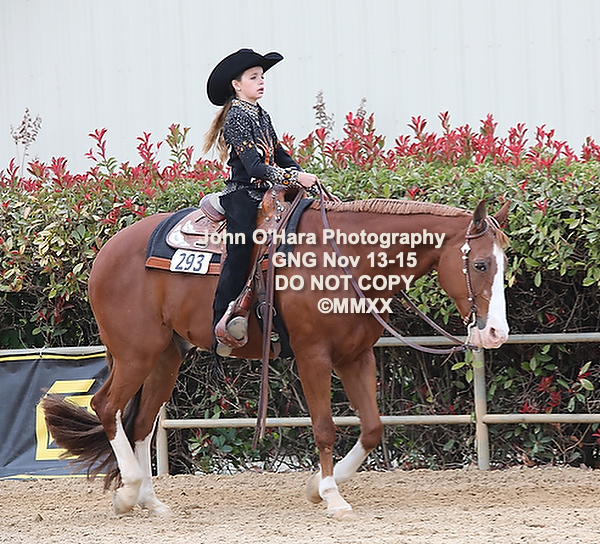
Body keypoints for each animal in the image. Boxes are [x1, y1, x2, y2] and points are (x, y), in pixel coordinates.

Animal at [42, 196, 510, 519]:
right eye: (481, 265)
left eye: (506, 264)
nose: (495, 333)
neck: (346, 259)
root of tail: (107, 251)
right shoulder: (313, 355)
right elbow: (324, 427)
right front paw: (332, 497)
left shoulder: (357, 356)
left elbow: (373, 428)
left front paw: (318, 486)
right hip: (134, 353)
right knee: (106, 406)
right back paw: (127, 495)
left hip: (165, 357)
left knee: (139, 423)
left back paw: (151, 503)